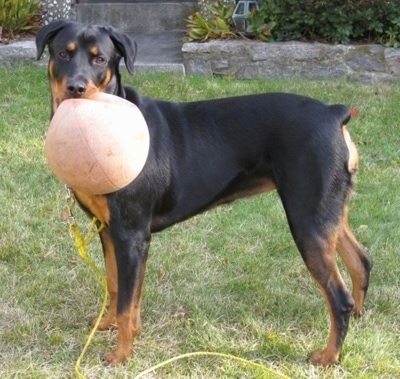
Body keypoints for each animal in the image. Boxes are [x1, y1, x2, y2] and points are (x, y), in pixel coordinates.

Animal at [36, 21, 372, 368]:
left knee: (339, 297)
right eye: (63, 53)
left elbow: (128, 301)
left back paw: (329, 355)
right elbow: (116, 286)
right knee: (361, 262)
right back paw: (359, 319)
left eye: (100, 59)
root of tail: (334, 113)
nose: (76, 88)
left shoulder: (131, 234)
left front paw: (121, 354)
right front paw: (107, 325)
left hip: (307, 219)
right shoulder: (108, 230)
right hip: (329, 211)